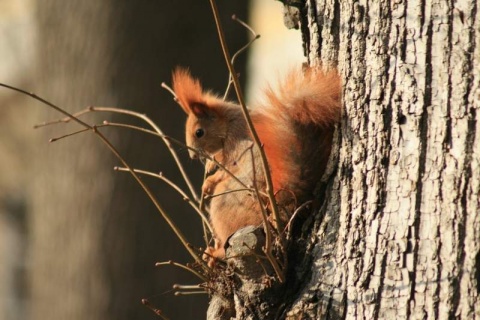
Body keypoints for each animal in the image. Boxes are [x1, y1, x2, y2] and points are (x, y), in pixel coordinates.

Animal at [172, 66, 342, 262]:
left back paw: (217, 252)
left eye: (199, 132)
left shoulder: (239, 143)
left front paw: (208, 182)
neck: (229, 121)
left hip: (226, 202)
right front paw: (209, 164)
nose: (192, 155)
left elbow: (228, 168)